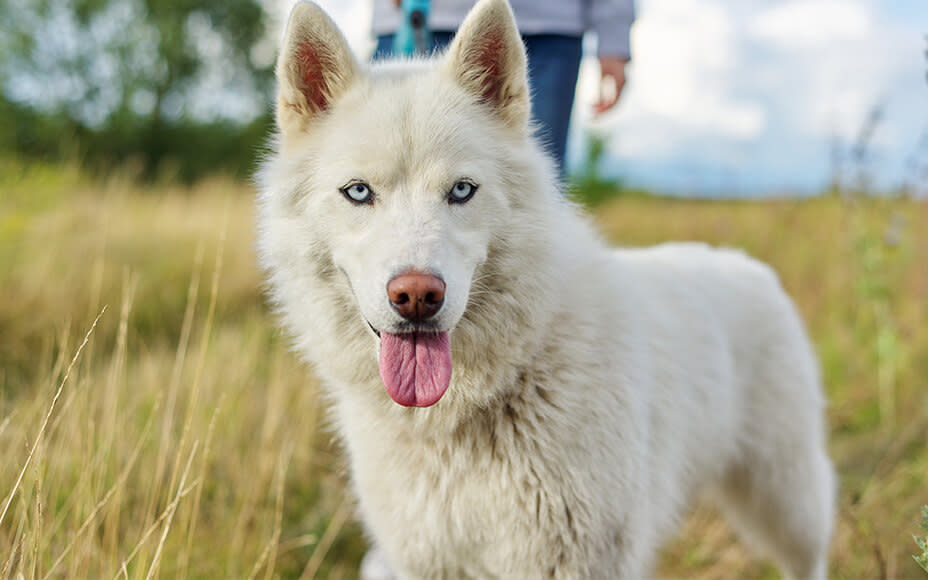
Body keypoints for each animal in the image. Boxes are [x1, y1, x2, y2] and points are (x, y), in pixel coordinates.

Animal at [258, 2, 836, 576]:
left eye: (461, 190)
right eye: (358, 193)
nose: (417, 296)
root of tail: (747, 265)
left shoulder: (580, 559)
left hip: (788, 499)